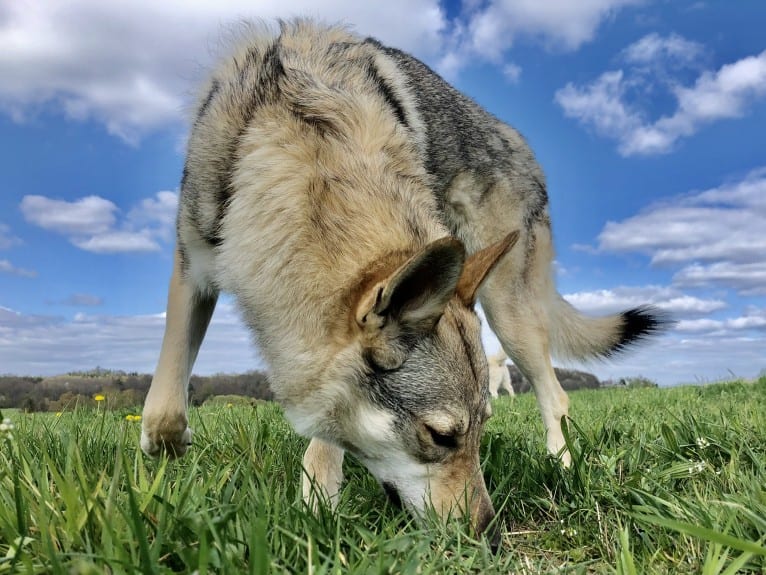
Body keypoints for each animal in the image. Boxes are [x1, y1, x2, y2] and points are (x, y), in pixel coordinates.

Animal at [141, 20, 668, 548]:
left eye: (481, 432)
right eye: (443, 437)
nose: (490, 538)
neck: (300, 136)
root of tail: (527, 152)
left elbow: (323, 441)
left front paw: (317, 513)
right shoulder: (191, 270)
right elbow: (164, 409)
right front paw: (168, 456)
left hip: (510, 315)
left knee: (555, 396)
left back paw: (563, 470)